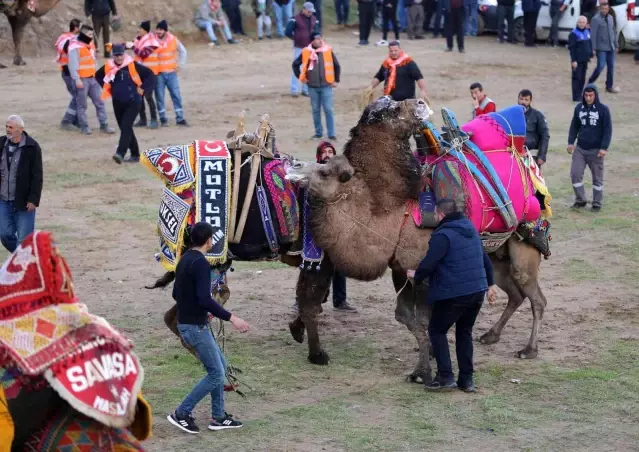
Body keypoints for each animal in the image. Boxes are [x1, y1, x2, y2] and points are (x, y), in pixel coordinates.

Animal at [288, 97, 548, 384]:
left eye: (325, 172)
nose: (294, 165)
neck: (394, 212)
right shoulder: (401, 269)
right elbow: (404, 316)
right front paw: (429, 356)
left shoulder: (423, 269)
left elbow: (423, 320)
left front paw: (422, 372)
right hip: (496, 256)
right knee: (515, 294)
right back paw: (491, 335)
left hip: (524, 251)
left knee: (536, 298)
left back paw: (529, 350)